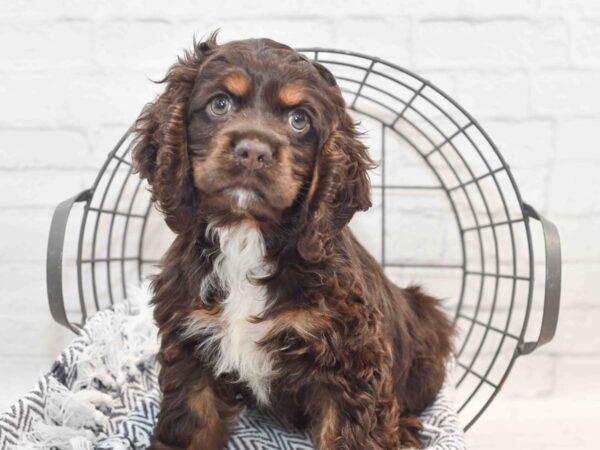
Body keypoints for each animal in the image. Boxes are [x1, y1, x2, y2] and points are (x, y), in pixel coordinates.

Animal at [130, 35, 450, 450]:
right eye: (220, 104)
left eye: (299, 120)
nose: (253, 151)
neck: (247, 236)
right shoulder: (192, 350)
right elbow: (189, 428)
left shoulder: (350, 368)